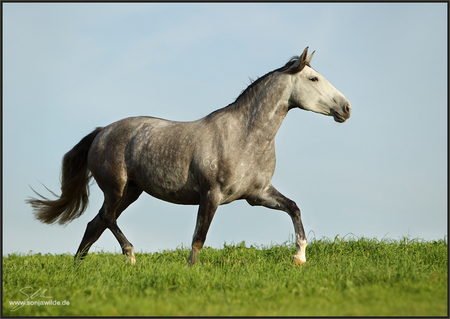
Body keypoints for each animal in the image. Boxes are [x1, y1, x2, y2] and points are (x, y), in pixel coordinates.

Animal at [27, 47, 352, 266]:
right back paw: (130, 258)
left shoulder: (257, 194)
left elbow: (294, 208)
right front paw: (190, 270)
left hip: (131, 192)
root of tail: (101, 132)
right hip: (115, 188)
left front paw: (300, 257)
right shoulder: (211, 195)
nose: (346, 108)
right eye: (314, 79)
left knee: (96, 224)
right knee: (106, 219)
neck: (245, 137)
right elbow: (198, 238)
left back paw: (78, 267)